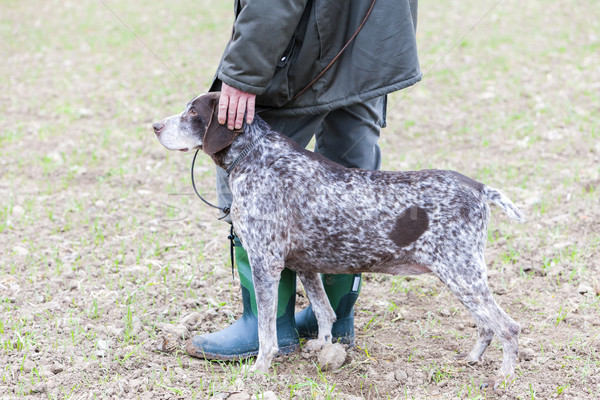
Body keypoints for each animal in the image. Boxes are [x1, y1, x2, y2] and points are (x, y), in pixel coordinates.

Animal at [155, 93, 524, 388]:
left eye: (193, 113)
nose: (155, 126)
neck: (255, 156)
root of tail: (479, 188)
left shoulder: (265, 262)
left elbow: (266, 330)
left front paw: (260, 368)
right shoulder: (303, 264)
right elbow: (325, 312)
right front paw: (322, 346)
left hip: (462, 274)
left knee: (508, 327)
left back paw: (503, 378)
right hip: (463, 278)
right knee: (487, 326)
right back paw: (473, 359)